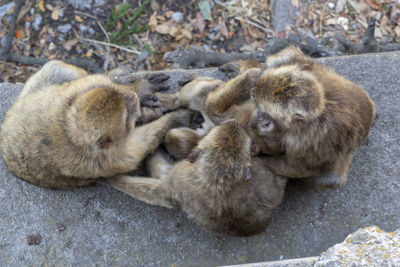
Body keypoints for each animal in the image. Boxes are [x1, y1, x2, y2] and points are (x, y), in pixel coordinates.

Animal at [0, 60, 194, 191]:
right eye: (125, 117)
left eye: (120, 95)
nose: (131, 96)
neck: (71, 132)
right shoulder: (111, 159)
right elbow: (142, 144)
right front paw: (178, 118)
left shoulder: (83, 89)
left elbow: (98, 80)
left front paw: (139, 88)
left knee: (56, 67)